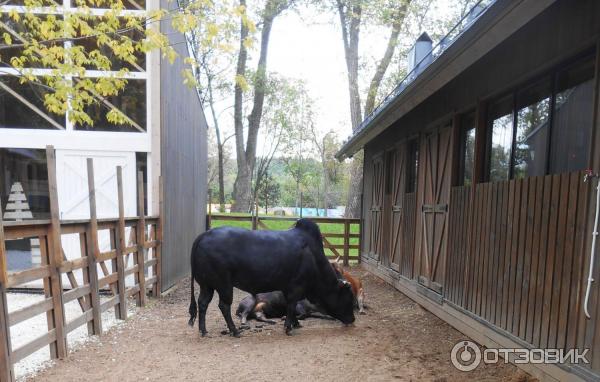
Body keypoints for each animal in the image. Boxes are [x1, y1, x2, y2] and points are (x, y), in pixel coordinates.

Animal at [190, 219, 354, 336]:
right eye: (348, 297)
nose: (352, 319)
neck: (314, 258)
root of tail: (205, 235)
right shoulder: (296, 287)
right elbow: (291, 306)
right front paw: (289, 327)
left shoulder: (288, 289)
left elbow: (290, 306)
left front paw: (294, 323)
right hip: (224, 285)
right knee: (224, 306)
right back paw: (234, 331)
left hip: (207, 285)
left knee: (203, 303)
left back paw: (203, 330)